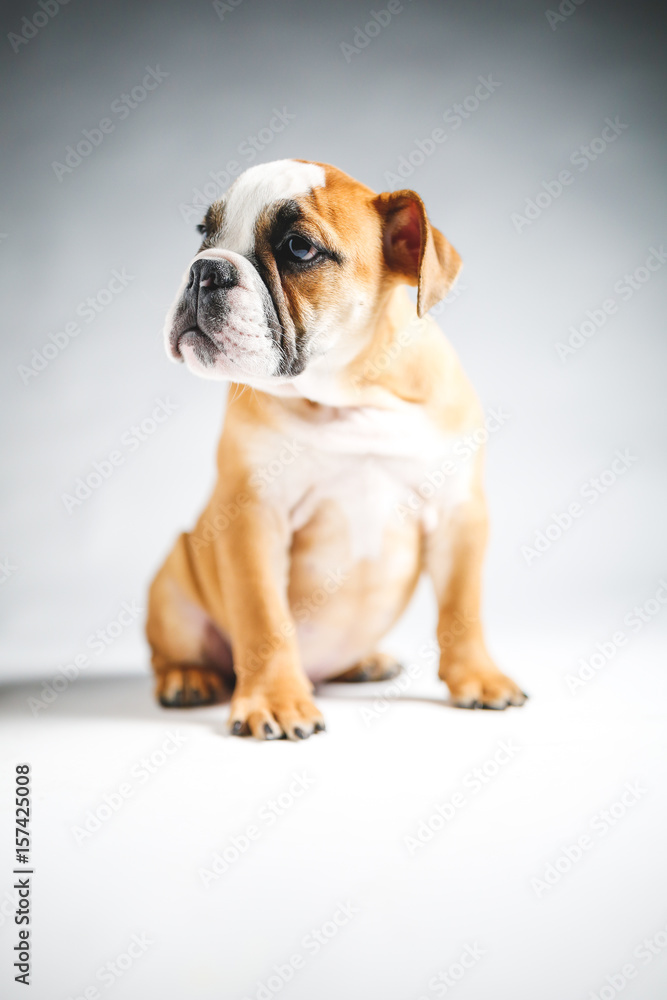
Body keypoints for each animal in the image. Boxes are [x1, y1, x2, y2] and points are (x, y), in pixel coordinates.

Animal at [146, 160, 528, 740]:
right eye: (203, 234)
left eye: (299, 248)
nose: (204, 269)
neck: (350, 396)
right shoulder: (252, 518)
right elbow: (264, 619)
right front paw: (275, 701)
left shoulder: (459, 515)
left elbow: (462, 609)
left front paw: (479, 679)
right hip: (172, 583)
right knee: (174, 653)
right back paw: (188, 677)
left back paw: (365, 662)